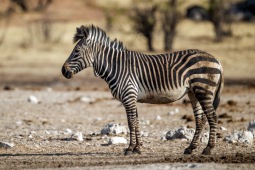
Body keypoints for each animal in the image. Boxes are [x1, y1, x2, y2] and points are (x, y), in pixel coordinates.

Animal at [61, 24, 223, 155]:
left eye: (76, 51)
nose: (63, 71)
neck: (116, 67)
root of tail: (216, 60)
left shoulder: (128, 96)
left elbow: (131, 122)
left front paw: (130, 148)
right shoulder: (131, 98)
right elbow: (135, 121)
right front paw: (137, 148)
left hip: (203, 90)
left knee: (212, 117)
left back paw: (208, 149)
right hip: (193, 92)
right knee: (200, 119)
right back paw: (190, 148)